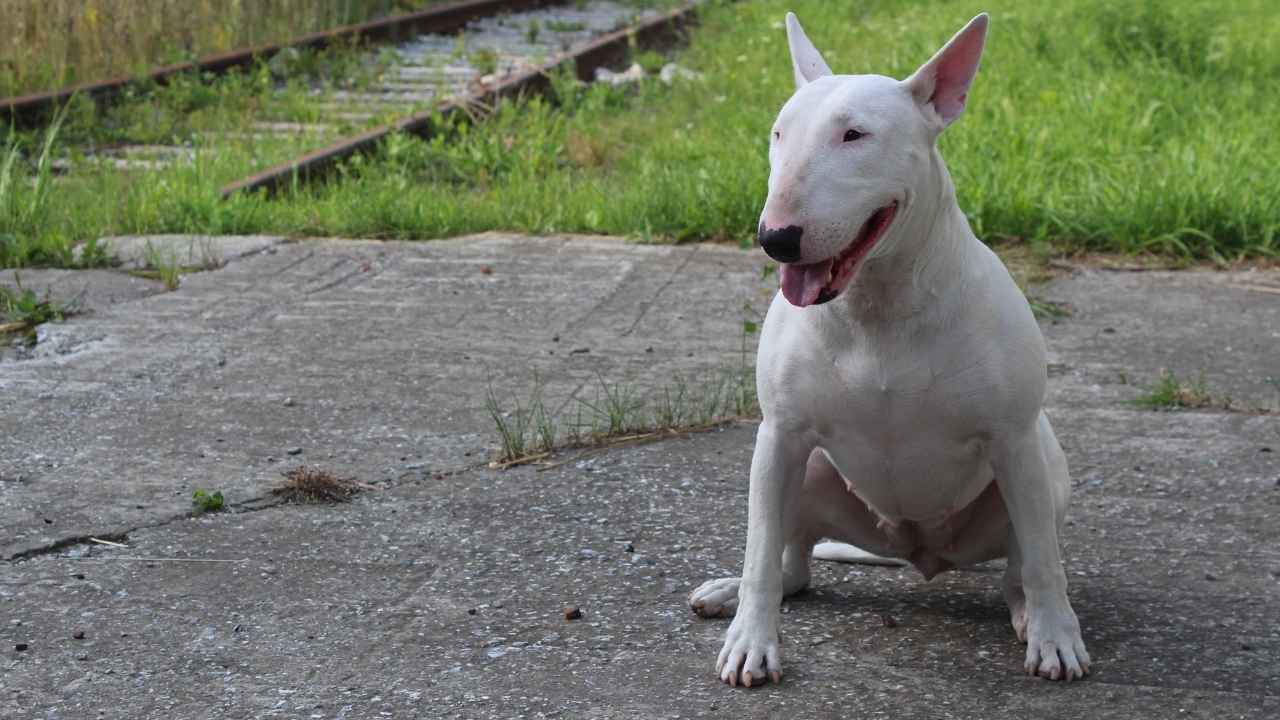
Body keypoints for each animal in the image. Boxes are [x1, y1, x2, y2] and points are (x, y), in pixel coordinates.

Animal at [691, 12, 1090, 681]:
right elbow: (759, 551)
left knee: (1024, 562)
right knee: (790, 564)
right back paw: (728, 592)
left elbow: (1042, 560)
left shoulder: (1012, 436)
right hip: (811, 472)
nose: (776, 238)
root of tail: (919, 551)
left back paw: (1030, 616)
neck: (875, 304)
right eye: (778, 133)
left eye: (855, 134)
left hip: (1038, 470)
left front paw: (1057, 640)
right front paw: (750, 643)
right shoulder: (779, 436)